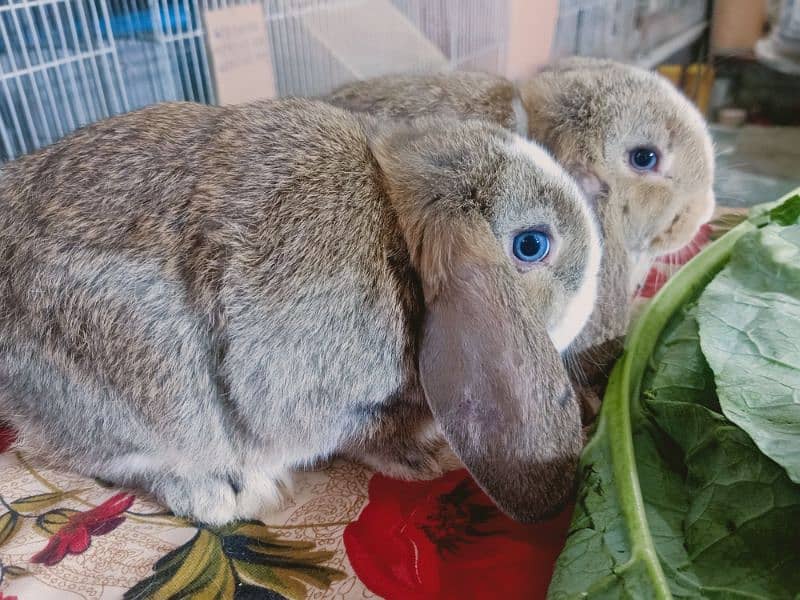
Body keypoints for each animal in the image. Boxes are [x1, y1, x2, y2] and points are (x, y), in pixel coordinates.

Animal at [0, 98, 600, 524]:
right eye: (531, 245)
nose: (598, 282)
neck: (397, 228)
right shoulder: (334, 401)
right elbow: (368, 439)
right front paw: (424, 463)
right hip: (144, 379)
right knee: (106, 459)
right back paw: (227, 491)